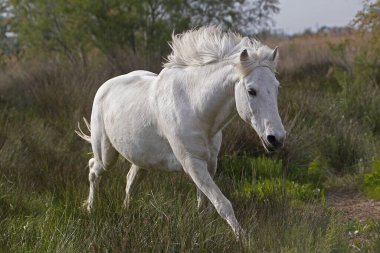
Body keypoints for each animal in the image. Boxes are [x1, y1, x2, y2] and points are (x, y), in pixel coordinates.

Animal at [76, 26, 284, 238]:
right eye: (251, 90)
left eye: (277, 87)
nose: (276, 138)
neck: (195, 108)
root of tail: (104, 87)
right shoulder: (193, 163)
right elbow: (223, 204)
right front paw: (243, 239)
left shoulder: (210, 164)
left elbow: (204, 204)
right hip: (106, 155)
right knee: (93, 169)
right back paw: (90, 208)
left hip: (141, 160)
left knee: (130, 182)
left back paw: (125, 212)